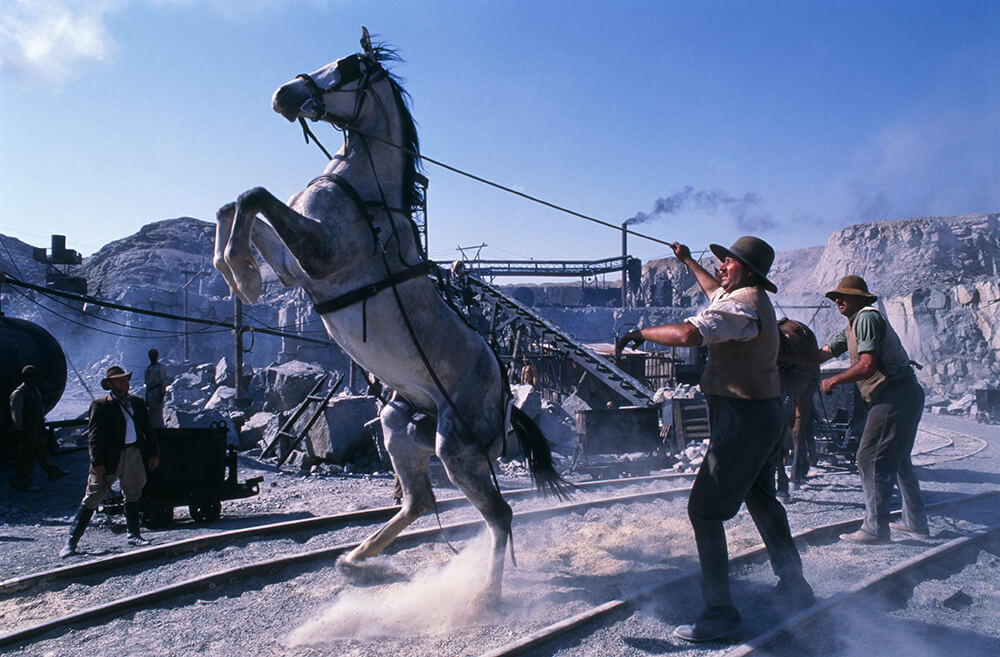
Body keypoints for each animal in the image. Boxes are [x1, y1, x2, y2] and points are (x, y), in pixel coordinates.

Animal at [214, 29, 568, 604]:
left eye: (350, 65)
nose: (284, 94)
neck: (363, 189)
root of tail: (505, 403)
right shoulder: (293, 268)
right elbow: (233, 205)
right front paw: (235, 271)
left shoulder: (322, 255)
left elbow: (252, 194)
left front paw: (240, 273)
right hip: (397, 425)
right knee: (419, 501)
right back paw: (355, 559)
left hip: (458, 449)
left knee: (499, 514)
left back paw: (483, 597)